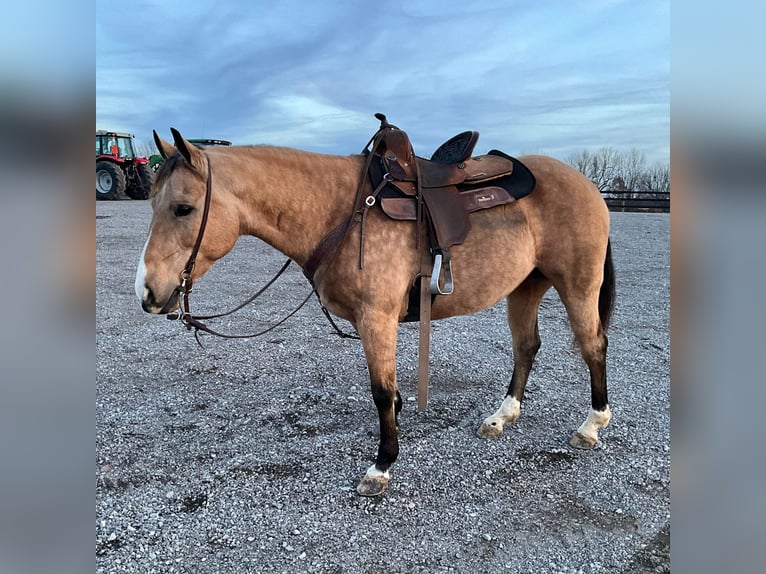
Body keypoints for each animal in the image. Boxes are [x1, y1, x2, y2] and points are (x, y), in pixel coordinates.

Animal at [136, 115, 616, 498]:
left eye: (184, 208)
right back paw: (502, 417)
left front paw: (382, 464)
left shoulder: (377, 318)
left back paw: (591, 425)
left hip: (577, 285)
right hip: (526, 287)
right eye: (152, 203)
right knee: (526, 347)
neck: (341, 213)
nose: (147, 293)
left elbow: (381, 393)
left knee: (593, 346)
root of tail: (586, 184)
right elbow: (391, 391)